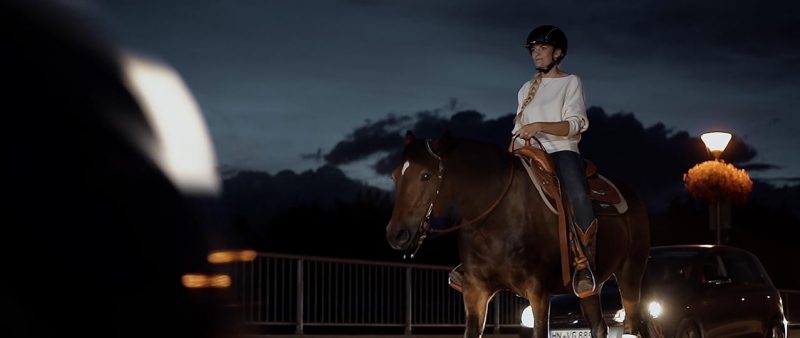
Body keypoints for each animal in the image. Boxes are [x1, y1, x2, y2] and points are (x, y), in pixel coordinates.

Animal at [386, 132, 648, 338]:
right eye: (395, 175)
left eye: (426, 175)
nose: (396, 234)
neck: (495, 217)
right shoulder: (475, 291)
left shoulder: (538, 292)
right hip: (589, 289)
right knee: (598, 326)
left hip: (630, 273)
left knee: (633, 325)